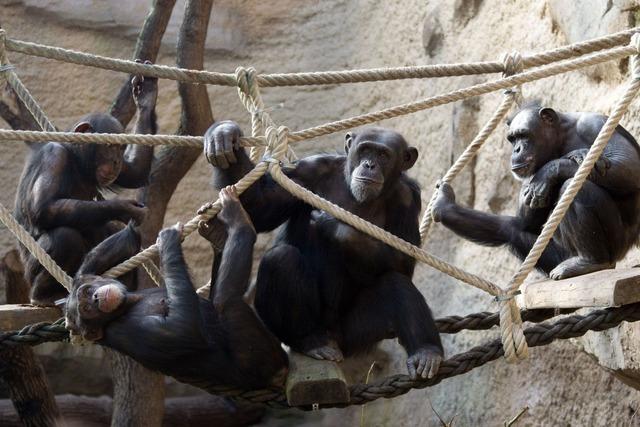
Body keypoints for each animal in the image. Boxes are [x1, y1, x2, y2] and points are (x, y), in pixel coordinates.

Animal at [15, 63, 158, 306]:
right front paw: (124, 208)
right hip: (31, 273)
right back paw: (45, 294)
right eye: (109, 145)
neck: (76, 158)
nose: (116, 160)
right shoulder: (54, 157)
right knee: (64, 236)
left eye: (121, 148)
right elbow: (44, 207)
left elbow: (135, 172)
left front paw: (146, 95)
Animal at [63, 186, 286, 392]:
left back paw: (217, 233)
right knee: (225, 301)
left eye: (86, 292)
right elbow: (182, 330)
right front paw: (167, 239)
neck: (129, 302)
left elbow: (106, 256)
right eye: (86, 310)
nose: (95, 298)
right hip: (255, 357)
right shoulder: (126, 332)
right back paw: (239, 219)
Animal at [205, 122, 444, 380]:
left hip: (354, 335)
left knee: (396, 284)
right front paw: (224, 135)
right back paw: (310, 341)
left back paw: (426, 352)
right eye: (365, 150)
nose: (369, 165)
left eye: (383, 155)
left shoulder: (407, 198)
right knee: (282, 259)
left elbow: (404, 261)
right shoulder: (308, 171)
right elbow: (260, 208)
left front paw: (336, 226)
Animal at [432, 102, 640, 280]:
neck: (561, 137)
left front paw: (553, 168)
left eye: (523, 135)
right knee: (511, 228)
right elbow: (527, 221)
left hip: (617, 243)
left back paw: (591, 261)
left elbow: (627, 165)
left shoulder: (594, 124)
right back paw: (445, 207)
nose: (516, 150)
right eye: (512, 139)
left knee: (575, 187)